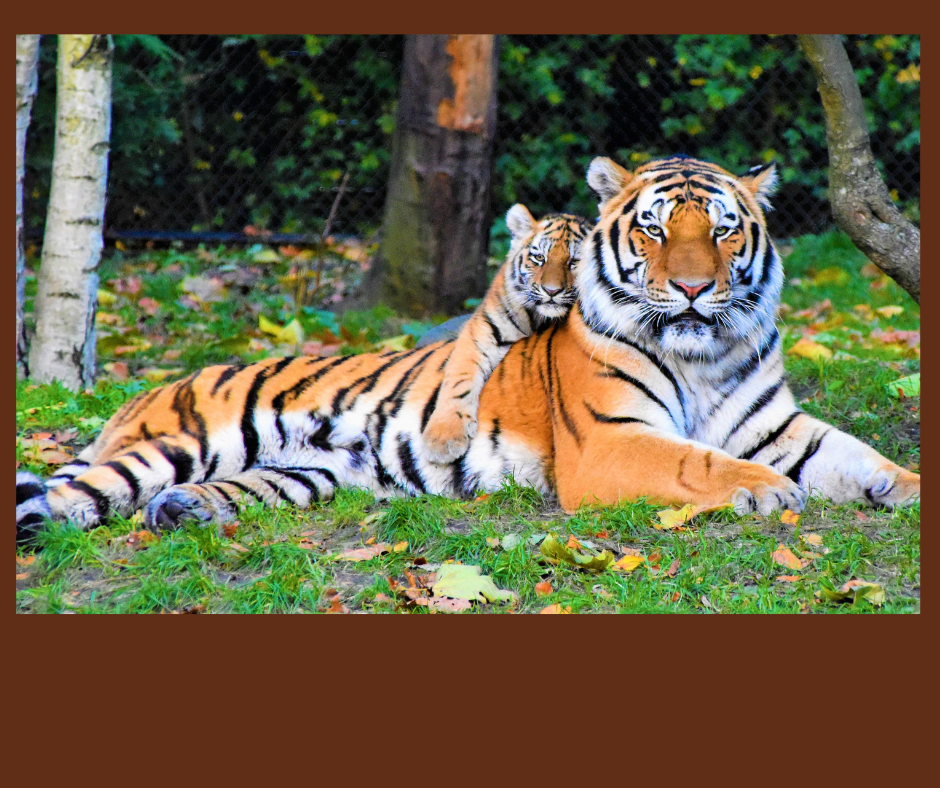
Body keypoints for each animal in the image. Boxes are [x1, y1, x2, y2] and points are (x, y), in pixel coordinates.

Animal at [422, 205, 591, 462]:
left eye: (574, 261)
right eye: (539, 258)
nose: (551, 291)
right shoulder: (482, 331)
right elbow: (459, 378)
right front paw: (443, 439)